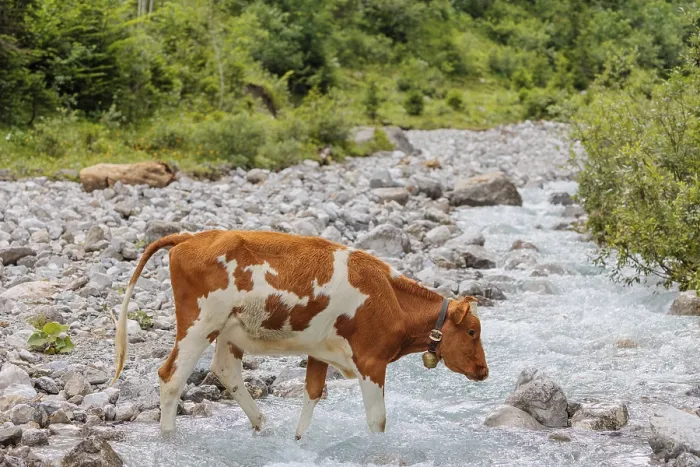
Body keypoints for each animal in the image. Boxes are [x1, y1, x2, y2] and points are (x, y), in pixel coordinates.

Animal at [110, 230, 488, 439]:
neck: (389, 296)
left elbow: (312, 396)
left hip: (228, 331)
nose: (484, 370)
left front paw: (298, 440)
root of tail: (192, 236)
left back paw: (262, 424)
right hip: (199, 324)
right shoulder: (371, 361)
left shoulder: (321, 351)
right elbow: (377, 420)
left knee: (225, 370)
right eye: (472, 331)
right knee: (171, 377)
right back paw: (169, 436)